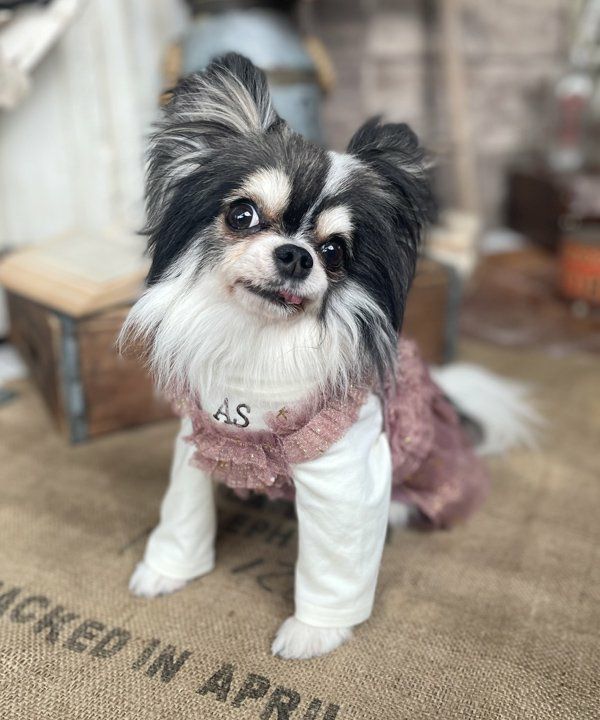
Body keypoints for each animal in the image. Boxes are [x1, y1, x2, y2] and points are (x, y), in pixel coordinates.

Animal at [121, 54, 536, 660]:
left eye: (336, 252)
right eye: (242, 215)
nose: (297, 255)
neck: (257, 349)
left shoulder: (346, 474)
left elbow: (335, 563)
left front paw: (313, 632)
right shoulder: (196, 442)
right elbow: (182, 513)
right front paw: (166, 572)